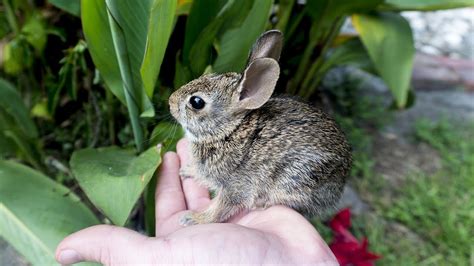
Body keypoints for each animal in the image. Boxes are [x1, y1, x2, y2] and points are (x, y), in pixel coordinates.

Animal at [168, 30, 350, 225]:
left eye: (196, 102)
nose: (170, 101)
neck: (228, 131)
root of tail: (342, 179)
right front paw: (187, 170)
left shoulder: (236, 185)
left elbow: (221, 208)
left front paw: (195, 219)